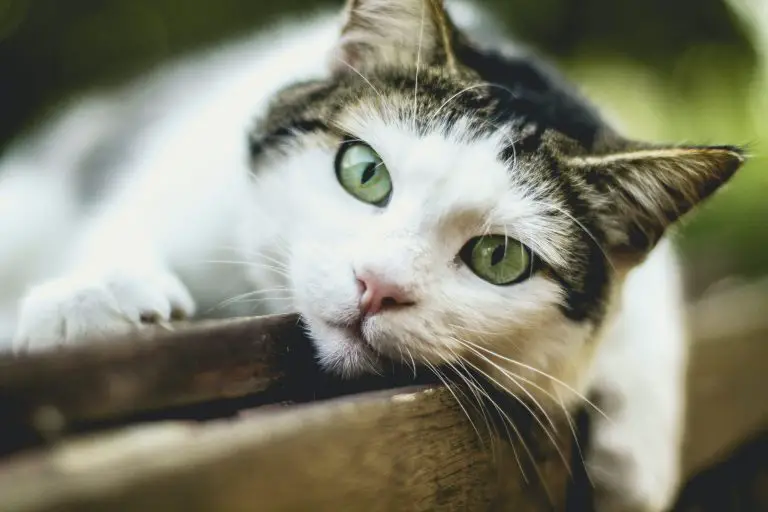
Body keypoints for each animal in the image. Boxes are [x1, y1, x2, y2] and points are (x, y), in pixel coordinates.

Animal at [0, 1, 744, 512]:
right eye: (363, 172)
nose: (377, 286)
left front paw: (637, 458)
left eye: (499, 259)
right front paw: (88, 297)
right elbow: (130, 217)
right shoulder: (185, 163)